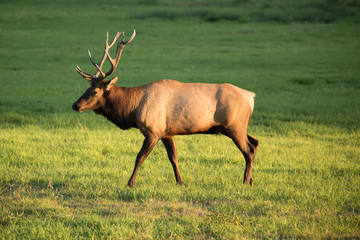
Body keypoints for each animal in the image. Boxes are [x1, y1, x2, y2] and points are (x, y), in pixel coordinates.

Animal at [72, 30, 258, 188]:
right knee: (255, 143)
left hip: (234, 126)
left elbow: (139, 158)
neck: (133, 110)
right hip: (237, 127)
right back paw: (250, 179)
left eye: (94, 91)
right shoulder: (167, 132)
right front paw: (180, 182)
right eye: (87, 88)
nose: (75, 105)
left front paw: (129, 184)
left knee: (248, 150)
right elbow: (173, 158)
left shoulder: (153, 131)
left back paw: (245, 181)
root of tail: (251, 95)